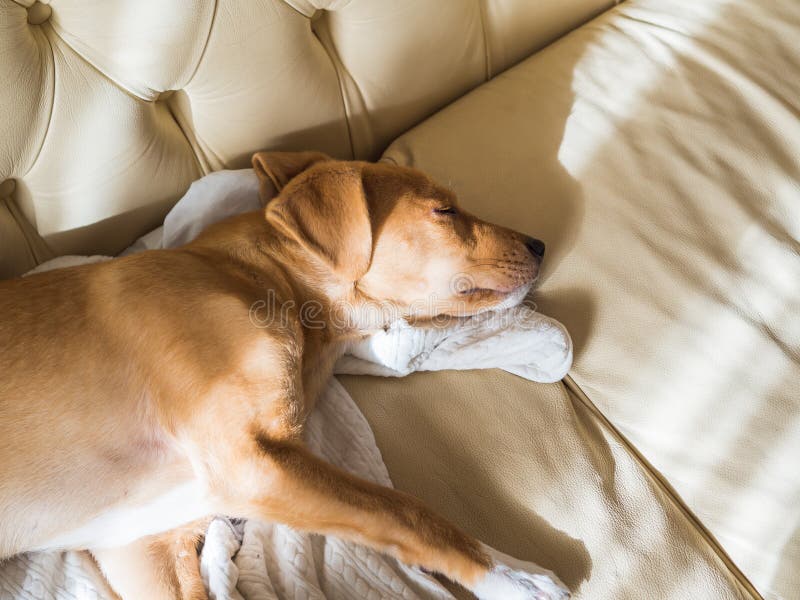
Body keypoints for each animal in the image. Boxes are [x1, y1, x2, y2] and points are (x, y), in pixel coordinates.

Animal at [0, 154, 568, 600]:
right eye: (444, 209)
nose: (541, 244)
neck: (252, 279)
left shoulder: (144, 550)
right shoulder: (249, 460)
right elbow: (407, 514)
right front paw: (513, 577)